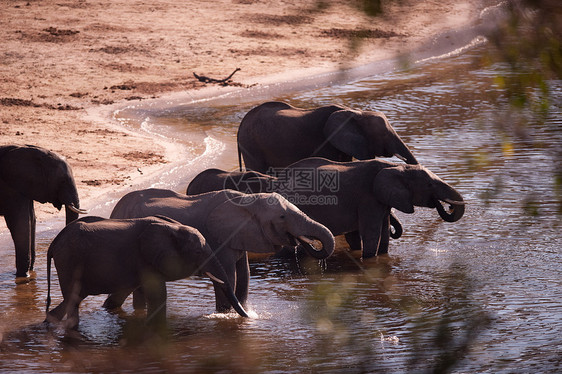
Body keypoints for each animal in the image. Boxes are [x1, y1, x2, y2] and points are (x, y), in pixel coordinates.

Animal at [0, 145, 85, 276]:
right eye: (63, 181)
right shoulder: (11, 189)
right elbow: (21, 225)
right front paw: (23, 276)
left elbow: (32, 219)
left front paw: (29, 273)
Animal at [43, 215, 245, 328]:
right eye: (197, 252)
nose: (249, 315)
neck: (173, 229)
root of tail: (54, 243)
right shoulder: (144, 260)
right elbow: (158, 296)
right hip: (69, 260)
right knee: (73, 300)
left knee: (72, 300)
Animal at [106, 190, 332, 312]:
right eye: (282, 217)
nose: (302, 242)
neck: (247, 199)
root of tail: (114, 210)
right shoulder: (218, 240)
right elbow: (229, 278)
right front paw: (226, 316)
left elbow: (244, 276)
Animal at [186, 159, 462, 260]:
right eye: (429, 185)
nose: (446, 204)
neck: (392, 167)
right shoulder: (368, 199)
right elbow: (372, 231)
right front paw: (369, 260)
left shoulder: (379, 200)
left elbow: (382, 231)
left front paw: (382, 258)